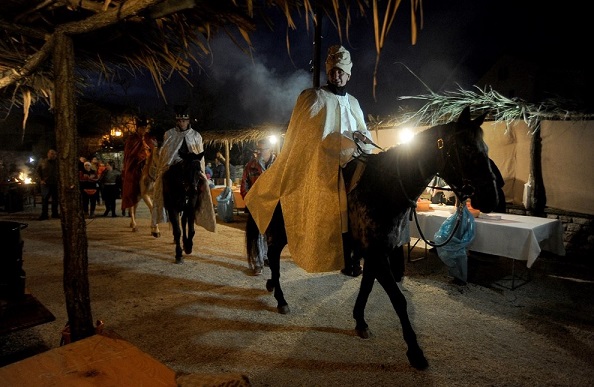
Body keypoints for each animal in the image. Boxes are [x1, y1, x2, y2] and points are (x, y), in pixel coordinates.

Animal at [243, 106, 498, 370]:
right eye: (466, 148)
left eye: (485, 148)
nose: (491, 197)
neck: (385, 188)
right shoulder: (376, 253)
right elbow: (398, 299)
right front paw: (415, 351)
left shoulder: (376, 251)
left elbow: (366, 286)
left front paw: (360, 321)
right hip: (282, 230)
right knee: (273, 254)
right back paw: (280, 298)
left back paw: (272, 285)